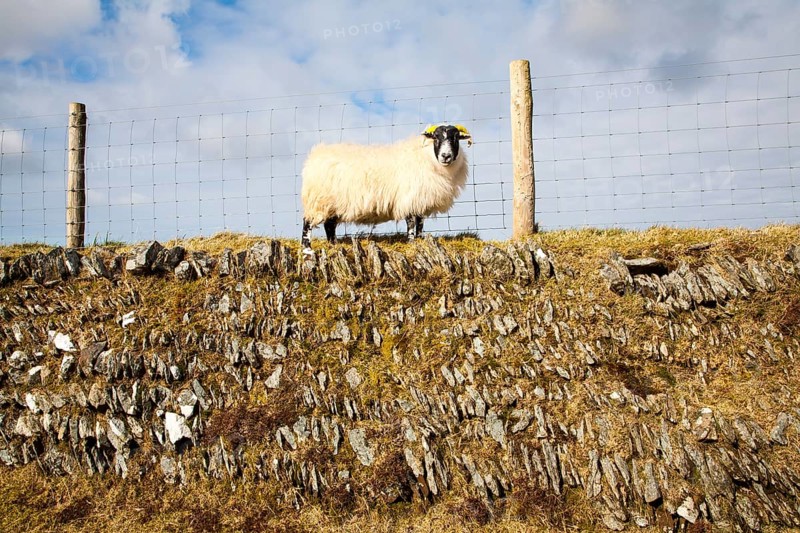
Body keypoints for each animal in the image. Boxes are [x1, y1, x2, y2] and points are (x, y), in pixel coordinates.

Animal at [300, 123, 472, 250]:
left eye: (456, 138)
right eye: (436, 137)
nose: (446, 156)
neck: (426, 156)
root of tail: (314, 156)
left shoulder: (420, 200)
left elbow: (420, 224)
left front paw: (419, 240)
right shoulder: (409, 199)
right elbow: (411, 223)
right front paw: (411, 242)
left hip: (333, 204)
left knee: (329, 225)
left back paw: (333, 244)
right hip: (318, 200)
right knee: (307, 223)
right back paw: (307, 247)